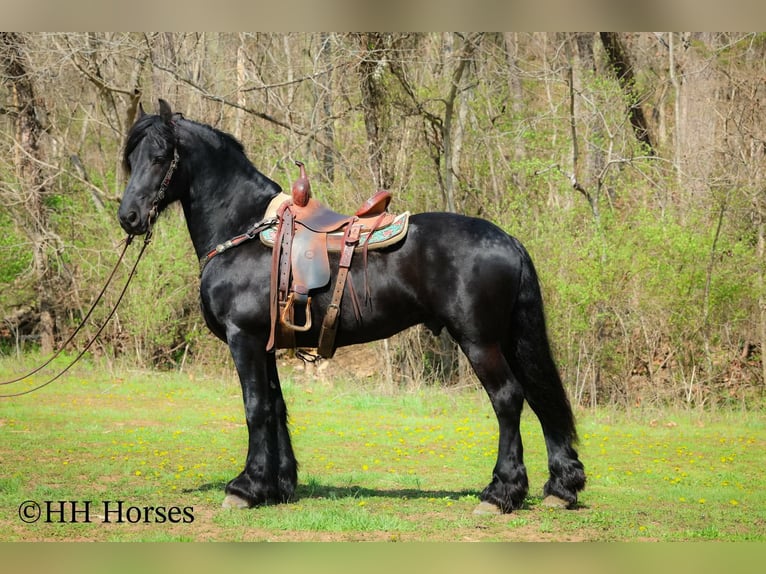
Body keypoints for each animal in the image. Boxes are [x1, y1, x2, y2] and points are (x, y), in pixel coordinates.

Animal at [117, 99, 585, 514]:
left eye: (160, 157)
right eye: (131, 159)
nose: (129, 217)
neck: (245, 229)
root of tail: (508, 240)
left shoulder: (244, 339)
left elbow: (255, 409)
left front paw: (245, 488)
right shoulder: (266, 344)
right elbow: (275, 407)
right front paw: (277, 486)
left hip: (480, 342)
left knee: (508, 399)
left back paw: (500, 493)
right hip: (508, 340)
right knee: (540, 398)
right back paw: (560, 488)